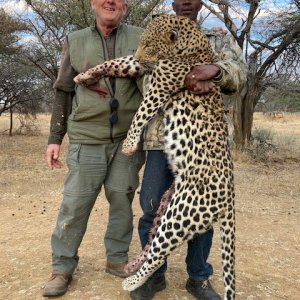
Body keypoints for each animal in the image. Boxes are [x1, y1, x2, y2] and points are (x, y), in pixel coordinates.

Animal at [74, 14, 236, 300]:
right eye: (141, 43)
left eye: (150, 46)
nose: (140, 57)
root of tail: (230, 198)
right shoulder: (143, 68)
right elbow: (114, 63)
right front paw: (84, 75)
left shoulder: (160, 85)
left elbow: (140, 114)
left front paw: (129, 144)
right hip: (167, 204)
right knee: (153, 242)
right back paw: (132, 267)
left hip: (181, 214)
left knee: (160, 253)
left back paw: (131, 282)